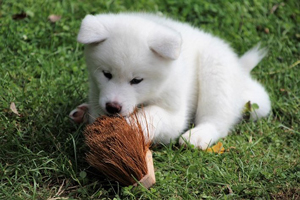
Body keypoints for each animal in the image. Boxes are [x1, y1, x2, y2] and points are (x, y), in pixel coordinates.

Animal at [70, 12, 272, 149]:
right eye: (106, 74)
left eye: (137, 80)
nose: (113, 107)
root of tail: (240, 69)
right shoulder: (97, 91)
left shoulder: (174, 111)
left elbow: (152, 114)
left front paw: (130, 126)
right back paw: (81, 112)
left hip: (216, 72)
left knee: (218, 120)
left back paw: (198, 136)